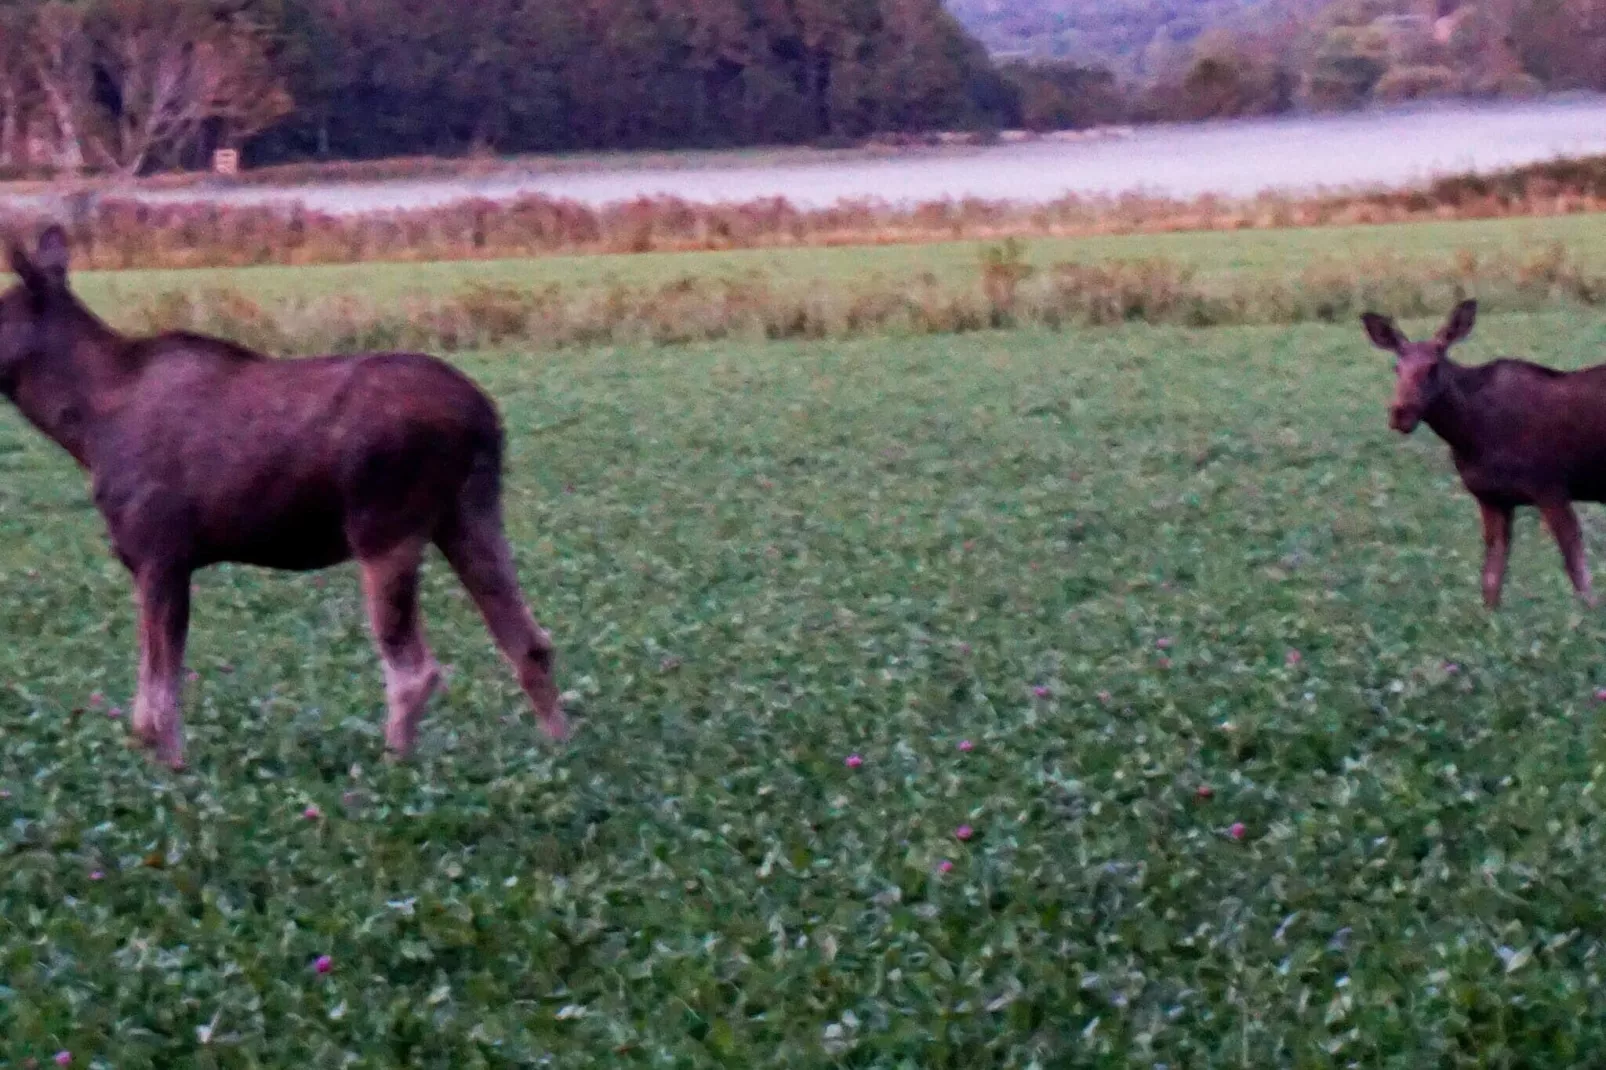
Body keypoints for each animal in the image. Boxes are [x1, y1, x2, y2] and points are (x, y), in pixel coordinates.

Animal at [1361, 297, 1606, 607]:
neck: (1470, 435)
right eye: (1396, 368)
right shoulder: (1489, 497)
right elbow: (1491, 581)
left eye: (1432, 366)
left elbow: (1580, 577)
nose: (1399, 414)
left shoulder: (1551, 488)